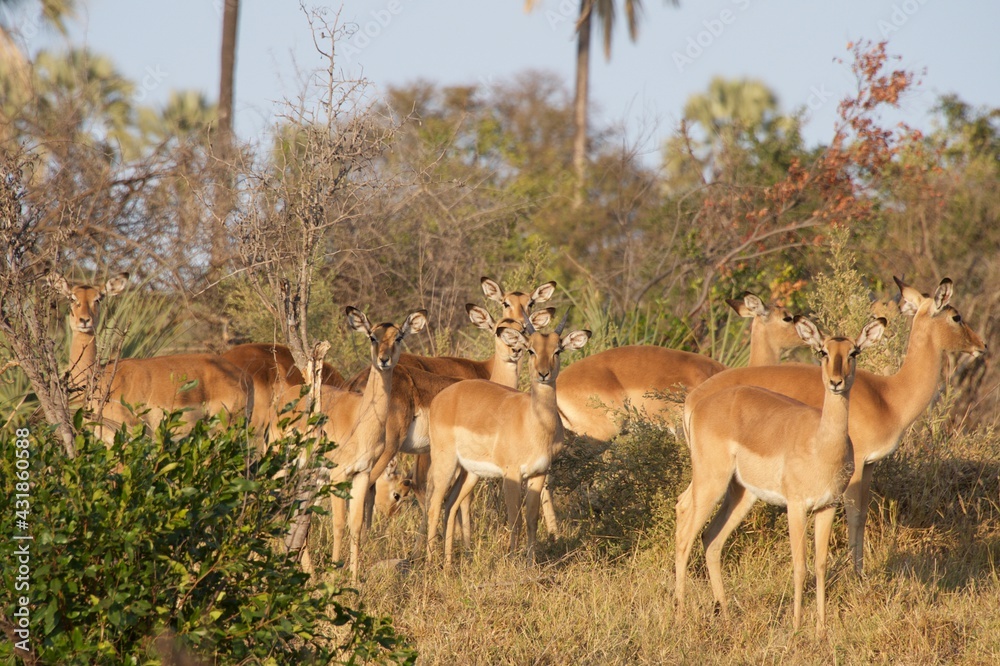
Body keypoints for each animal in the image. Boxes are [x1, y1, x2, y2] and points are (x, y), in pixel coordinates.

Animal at [271, 306, 427, 580]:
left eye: (398, 337)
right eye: (372, 336)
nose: (384, 360)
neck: (361, 422)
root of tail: (284, 398)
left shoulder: (361, 473)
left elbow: (355, 525)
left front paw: (353, 579)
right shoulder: (337, 475)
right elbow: (338, 525)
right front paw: (334, 576)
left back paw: (307, 573)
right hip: (283, 465)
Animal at [425, 314, 590, 568]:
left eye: (558, 350)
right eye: (531, 349)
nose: (543, 374)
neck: (535, 424)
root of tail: (441, 398)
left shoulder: (538, 473)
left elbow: (531, 519)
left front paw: (530, 563)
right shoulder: (511, 474)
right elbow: (515, 519)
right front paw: (512, 562)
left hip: (470, 472)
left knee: (450, 504)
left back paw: (449, 564)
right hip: (446, 463)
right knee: (434, 506)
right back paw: (431, 563)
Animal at [675, 317, 886, 637]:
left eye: (854, 352)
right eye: (823, 351)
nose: (836, 382)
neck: (821, 445)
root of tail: (698, 404)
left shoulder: (827, 507)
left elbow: (820, 565)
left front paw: (821, 628)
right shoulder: (796, 507)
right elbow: (800, 566)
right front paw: (798, 626)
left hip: (740, 494)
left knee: (710, 539)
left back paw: (725, 613)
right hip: (711, 482)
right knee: (686, 534)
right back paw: (677, 615)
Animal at [684, 277, 987, 574]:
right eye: (956, 316)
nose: (981, 345)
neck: (889, 397)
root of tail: (695, 399)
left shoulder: (870, 465)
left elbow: (861, 516)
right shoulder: (856, 465)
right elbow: (854, 516)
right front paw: (856, 575)